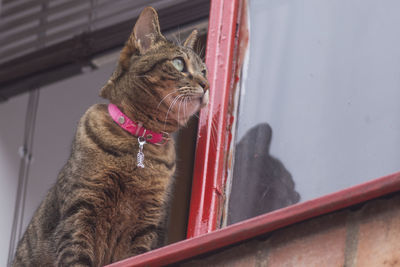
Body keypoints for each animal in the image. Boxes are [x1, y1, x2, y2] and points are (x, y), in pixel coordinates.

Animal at [12, 6, 208, 267]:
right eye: (178, 63)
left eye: (204, 70)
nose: (206, 84)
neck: (139, 139)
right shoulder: (81, 209)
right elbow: (77, 257)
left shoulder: (148, 225)